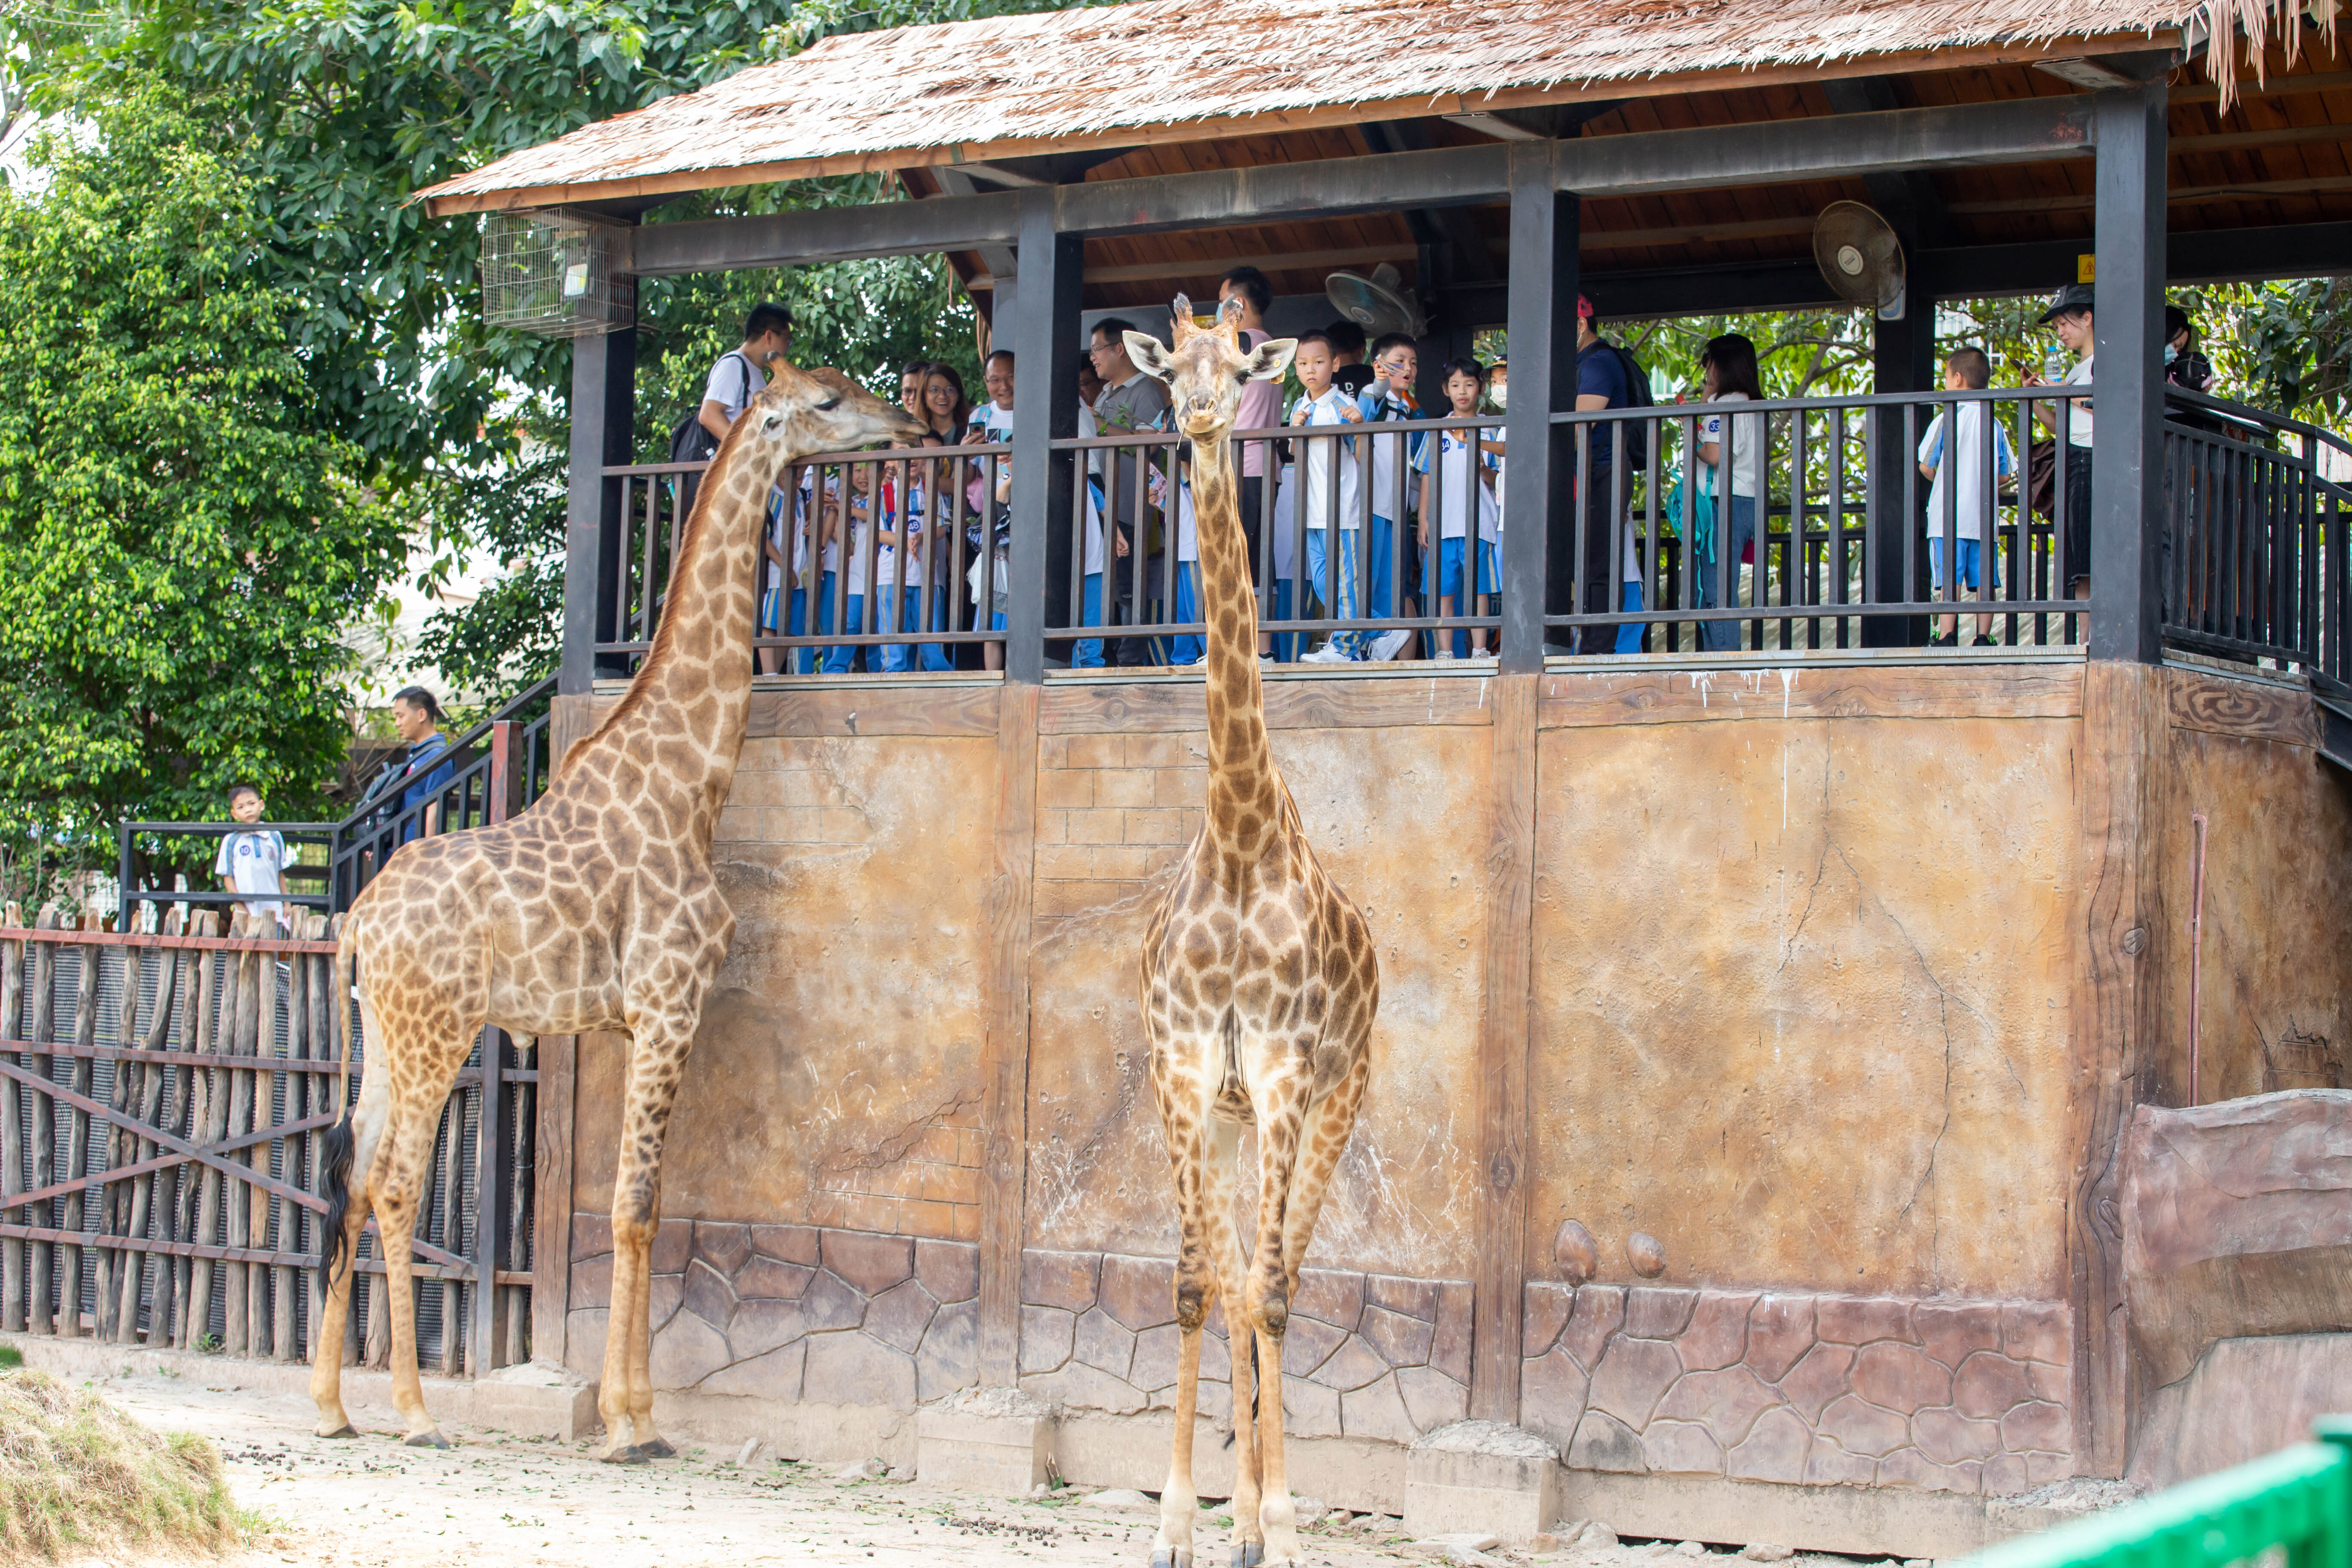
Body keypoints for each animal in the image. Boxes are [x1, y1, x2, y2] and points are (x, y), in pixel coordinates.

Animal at [310, 362, 926, 1457]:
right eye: (823, 401)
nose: (902, 422)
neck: (689, 789)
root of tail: (359, 923)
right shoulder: (667, 1005)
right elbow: (634, 1207)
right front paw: (630, 1423)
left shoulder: (635, 1020)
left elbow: (643, 1203)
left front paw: (630, 1411)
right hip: (437, 1030)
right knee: (394, 1180)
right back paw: (417, 1414)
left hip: (381, 1029)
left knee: (347, 1168)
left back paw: (332, 1406)